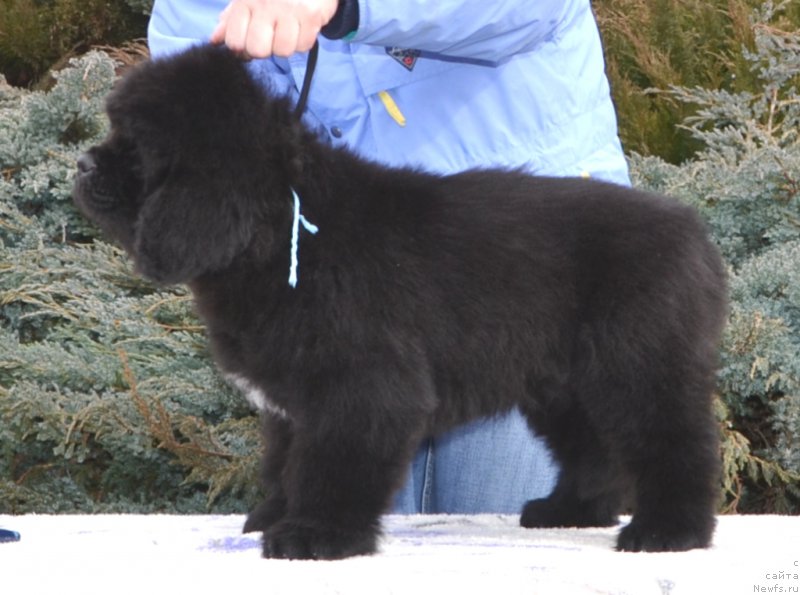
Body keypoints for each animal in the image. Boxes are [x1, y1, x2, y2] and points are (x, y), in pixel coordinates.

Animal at [72, 45, 728, 560]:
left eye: (138, 146)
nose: (82, 162)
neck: (284, 224)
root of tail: (693, 231)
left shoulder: (359, 385)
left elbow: (333, 464)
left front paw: (315, 534)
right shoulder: (292, 398)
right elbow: (286, 461)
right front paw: (275, 514)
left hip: (637, 368)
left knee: (677, 442)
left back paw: (669, 531)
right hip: (564, 385)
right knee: (595, 449)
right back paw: (570, 510)